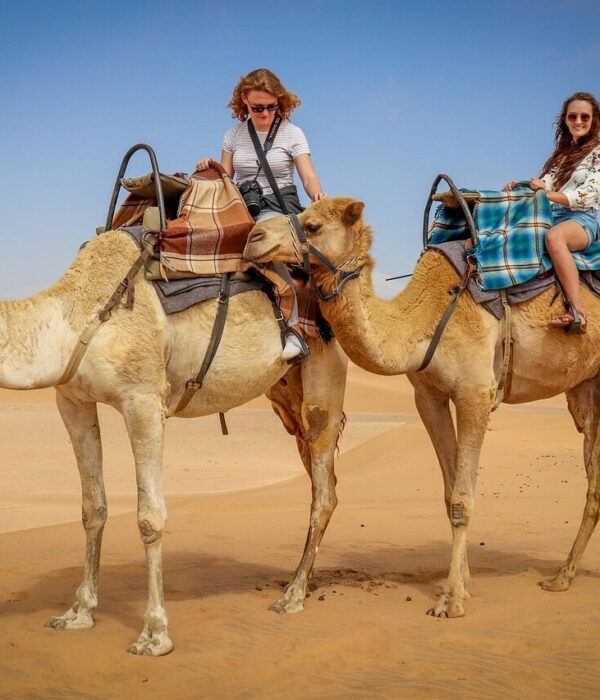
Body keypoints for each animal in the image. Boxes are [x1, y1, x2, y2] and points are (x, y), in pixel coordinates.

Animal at [0, 229, 347, 655]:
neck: (77, 313)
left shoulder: (143, 399)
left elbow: (150, 518)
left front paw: (154, 633)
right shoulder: (72, 401)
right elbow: (92, 508)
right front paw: (78, 613)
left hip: (323, 375)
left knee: (324, 490)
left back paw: (293, 595)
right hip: (286, 393)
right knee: (321, 480)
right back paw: (299, 582)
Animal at [244, 197, 600, 618]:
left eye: (311, 225)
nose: (253, 236)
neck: (424, 319)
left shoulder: (476, 392)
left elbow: (463, 498)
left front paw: (450, 601)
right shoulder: (428, 397)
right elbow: (449, 495)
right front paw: (463, 586)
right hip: (586, 389)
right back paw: (561, 578)